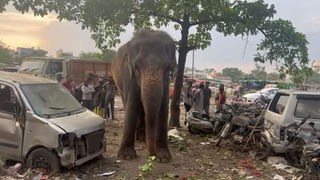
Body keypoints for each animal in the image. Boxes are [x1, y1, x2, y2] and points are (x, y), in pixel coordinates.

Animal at [112, 29, 178, 163]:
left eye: (168, 67)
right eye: (136, 67)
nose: (152, 155)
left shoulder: (166, 82)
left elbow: (163, 106)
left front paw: (163, 158)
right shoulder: (129, 74)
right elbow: (132, 103)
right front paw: (126, 156)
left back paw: (142, 138)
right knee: (126, 102)